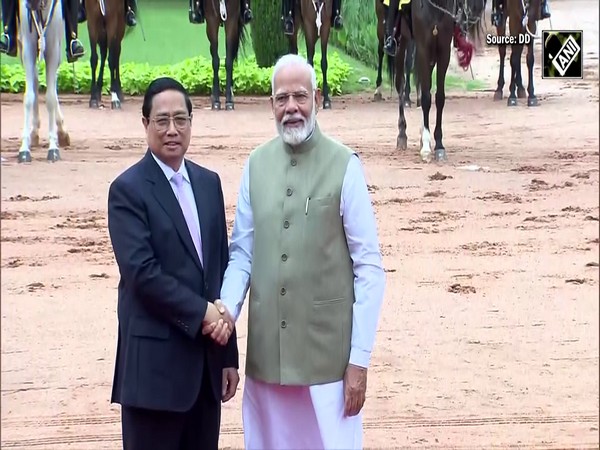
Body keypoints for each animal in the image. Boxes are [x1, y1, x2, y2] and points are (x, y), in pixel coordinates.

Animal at [18, 0, 70, 163]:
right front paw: (24, 148)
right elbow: (29, 97)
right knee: (35, 82)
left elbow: (51, 98)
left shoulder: (53, 49)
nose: (31, 4)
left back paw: (62, 132)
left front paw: (53, 147)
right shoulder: (27, 48)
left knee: (52, 87)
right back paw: (34, 132)